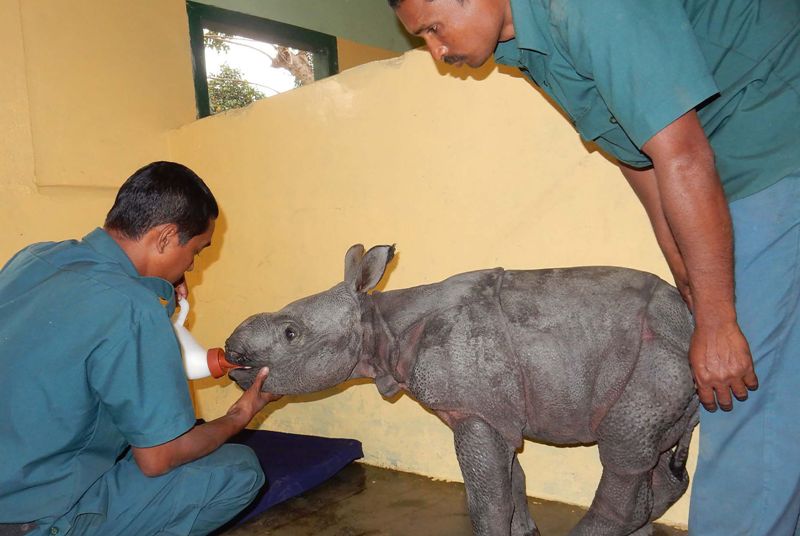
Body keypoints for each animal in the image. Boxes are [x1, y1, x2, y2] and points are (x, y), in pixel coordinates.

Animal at [223, 245, 692, 532]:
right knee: (648, 456)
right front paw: (526, 531)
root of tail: (689, 320)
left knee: (622, 452)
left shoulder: (476, 411)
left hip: (652, 354)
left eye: (290, 333)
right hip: (665, 361)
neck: (378, 322)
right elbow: (512, 482)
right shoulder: (487, 411)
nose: (230, 352)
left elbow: (487, 500)